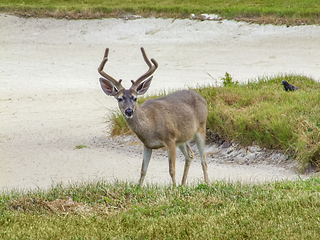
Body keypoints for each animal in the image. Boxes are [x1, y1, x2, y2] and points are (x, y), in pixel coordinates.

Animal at [99, 47, 209, 186]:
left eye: (135, 98)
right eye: (120, 98)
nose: (129, 111)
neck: (151, 126)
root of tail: (202, 98)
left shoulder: (170, 138)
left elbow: (172, 170)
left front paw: (174, 188)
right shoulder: (147, 145)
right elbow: (143, 170)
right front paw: (138, 187)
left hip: (201, 127)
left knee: (203, 159)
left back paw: (206, 183)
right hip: (182, 138)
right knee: (190, 155)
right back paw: (183, 184)